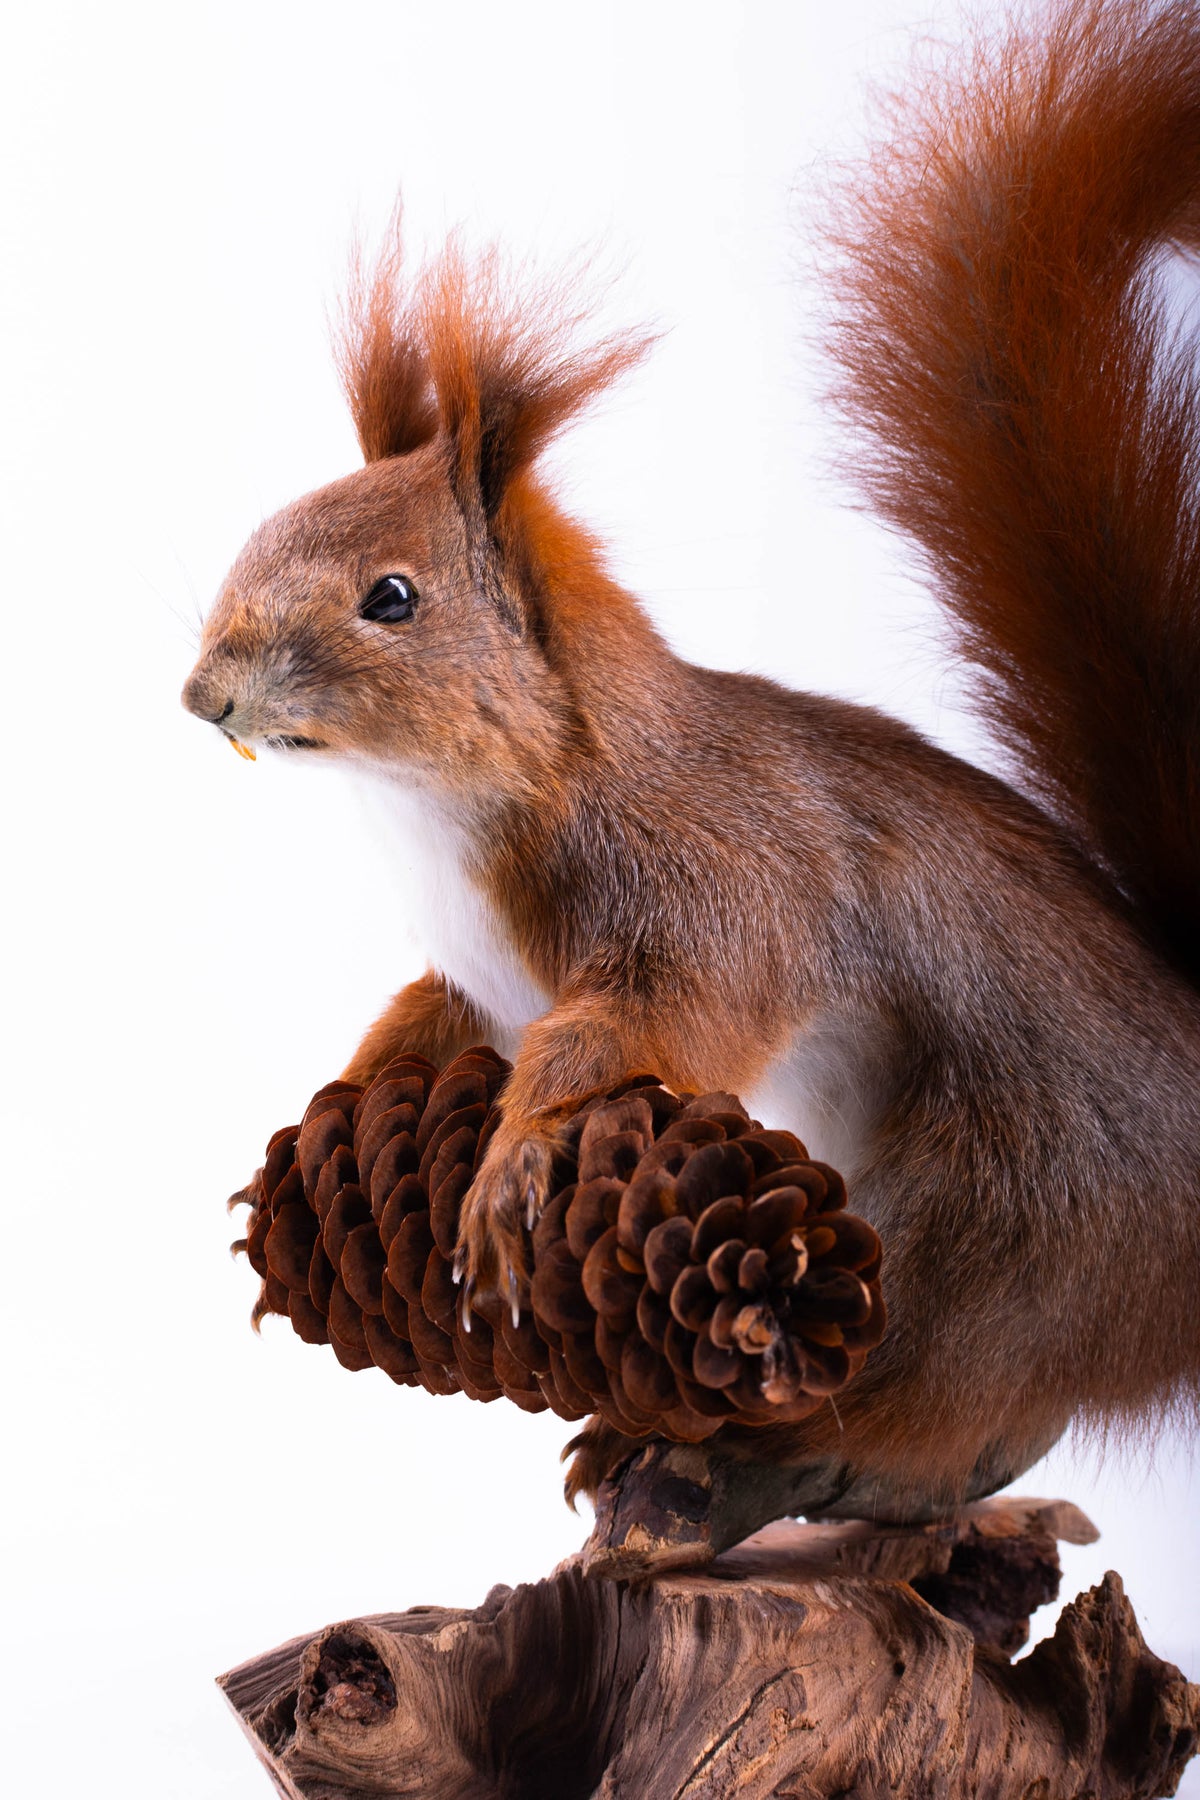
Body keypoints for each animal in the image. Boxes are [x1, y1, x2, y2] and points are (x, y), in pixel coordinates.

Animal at [184, 0, 1200, 1549]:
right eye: (268, 525)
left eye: (392, 597)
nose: (204, 693)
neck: (442, 817)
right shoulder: (478, 973)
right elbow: (429, 1022)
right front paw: (347, 1104)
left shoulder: (713, 874)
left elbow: (671, 1015)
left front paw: (516, 1156)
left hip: (1001, 1232)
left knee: (942, 1395)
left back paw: (731, 1475)